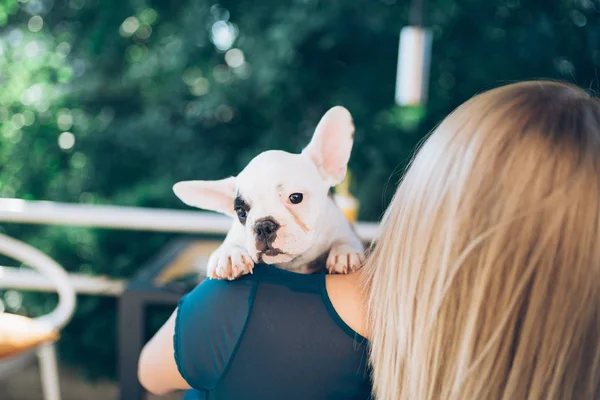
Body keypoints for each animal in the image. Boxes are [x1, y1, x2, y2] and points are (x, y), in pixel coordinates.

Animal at [171, 107, 364, 282]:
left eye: (296, 198)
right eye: (240, 212)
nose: (263, 226)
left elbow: (346, 238)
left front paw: (345, 251)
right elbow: (231, 243)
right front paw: (229, 255)